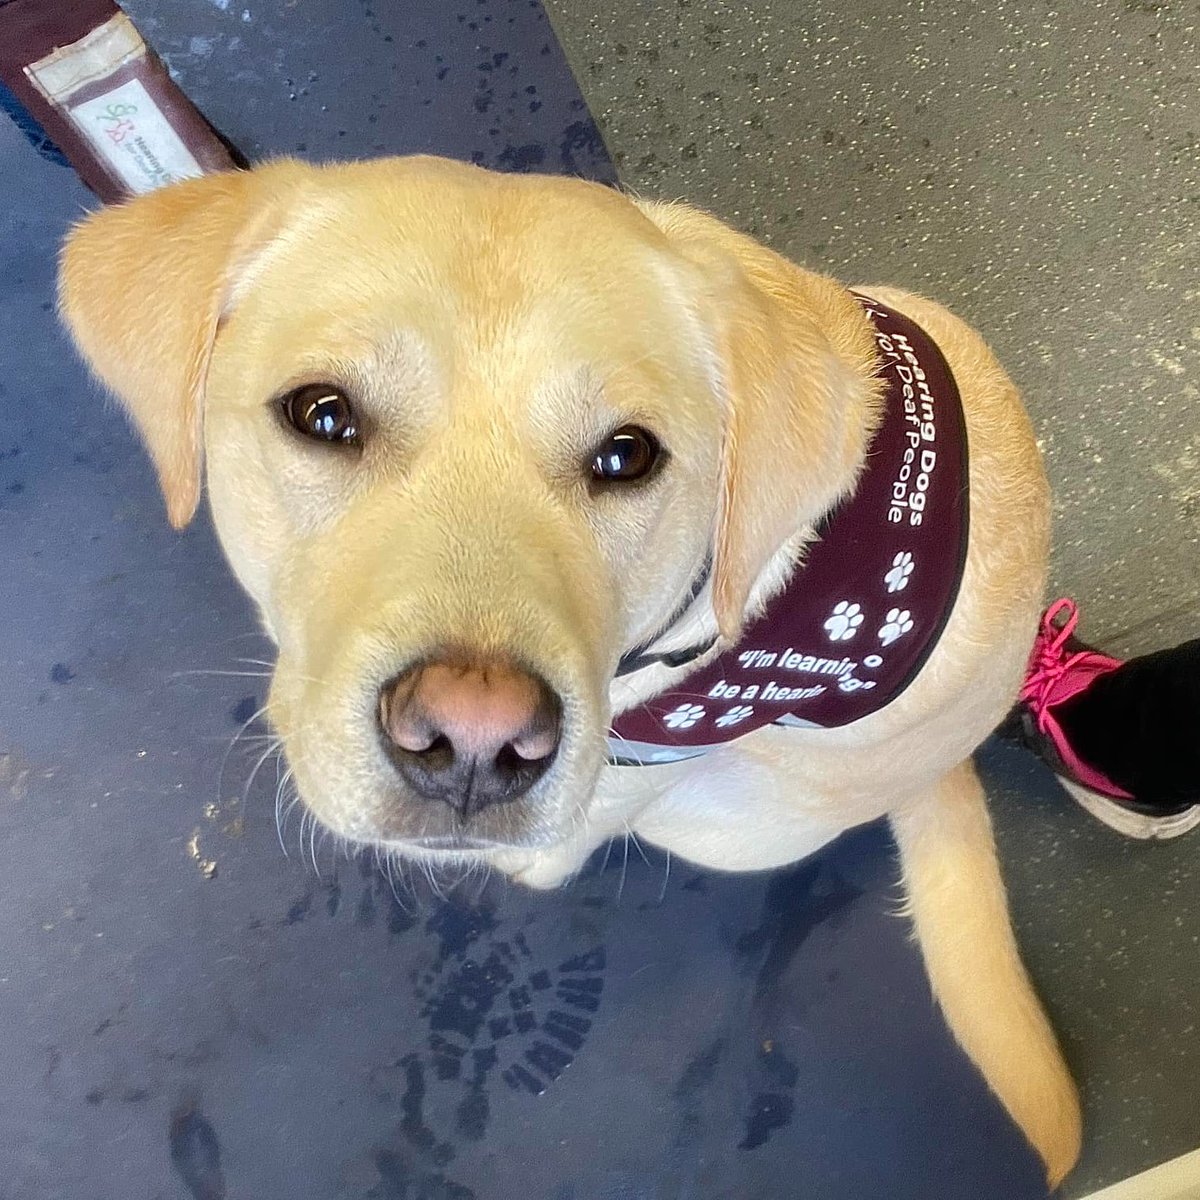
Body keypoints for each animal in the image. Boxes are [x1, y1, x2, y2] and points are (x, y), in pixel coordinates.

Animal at [60, 154, 1084, 1185]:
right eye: (323, 414)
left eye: (627, 456)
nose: (472, 743)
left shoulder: (645, 761)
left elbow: (574, 831)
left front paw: (532, 865)